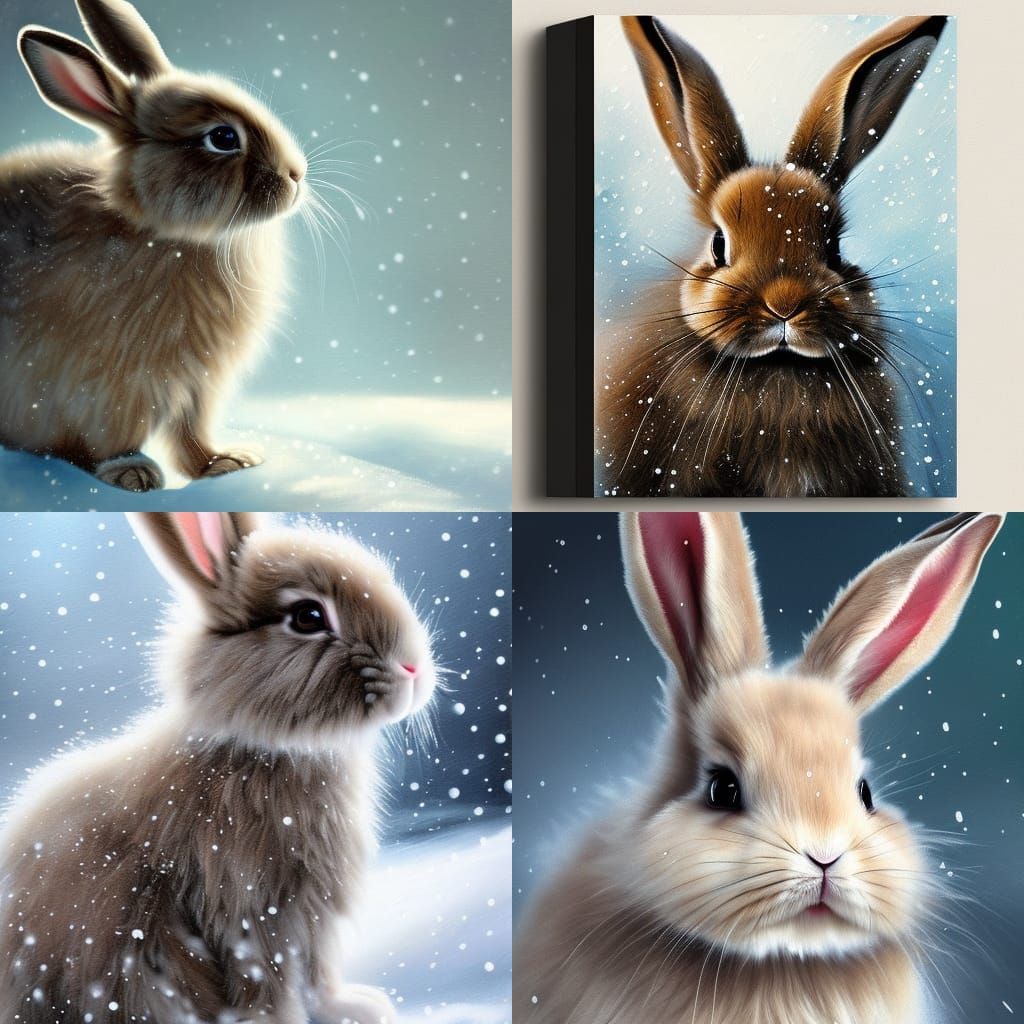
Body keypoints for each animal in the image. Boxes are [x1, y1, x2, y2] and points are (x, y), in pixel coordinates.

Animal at [0, 0, 309, 491]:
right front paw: (133, 474)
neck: (167, 234)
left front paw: (226, 463)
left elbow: (191, 434)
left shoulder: (199, 385)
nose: (296, 175)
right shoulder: (110, 382)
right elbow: (112, 435)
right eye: (223, 138)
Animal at [0, 511, 439, 1023]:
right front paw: (281, 1019)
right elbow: (268, 973)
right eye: (307, 616)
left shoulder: (311, 911)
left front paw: (354, 1007)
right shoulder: (246, 898)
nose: (413, 669)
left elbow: (316, 972)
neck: (263, 746)